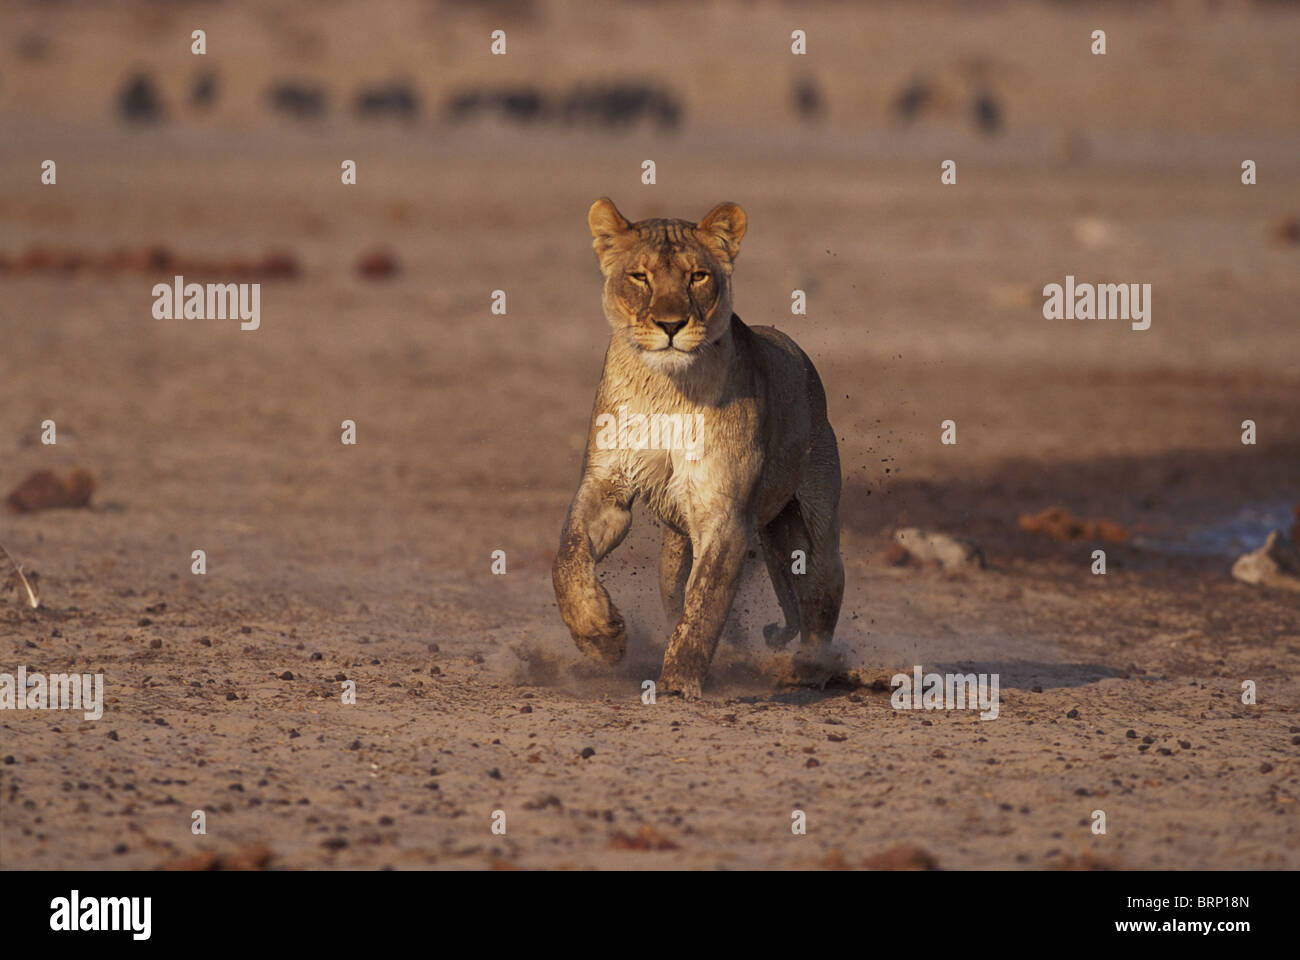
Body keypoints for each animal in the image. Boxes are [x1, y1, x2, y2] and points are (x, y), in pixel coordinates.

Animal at [552, 198, 844, 699]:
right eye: (640, 276)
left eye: (698, 276)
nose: (671, 325)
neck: (666, 388)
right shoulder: (607, 487)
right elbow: (568, 558)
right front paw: (600, 635)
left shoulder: (723, 510)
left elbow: (705, 603)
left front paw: (679, 681)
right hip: (677, 552)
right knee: (675, 588)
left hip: (815, 521)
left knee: (823, 594)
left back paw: (809, 670)